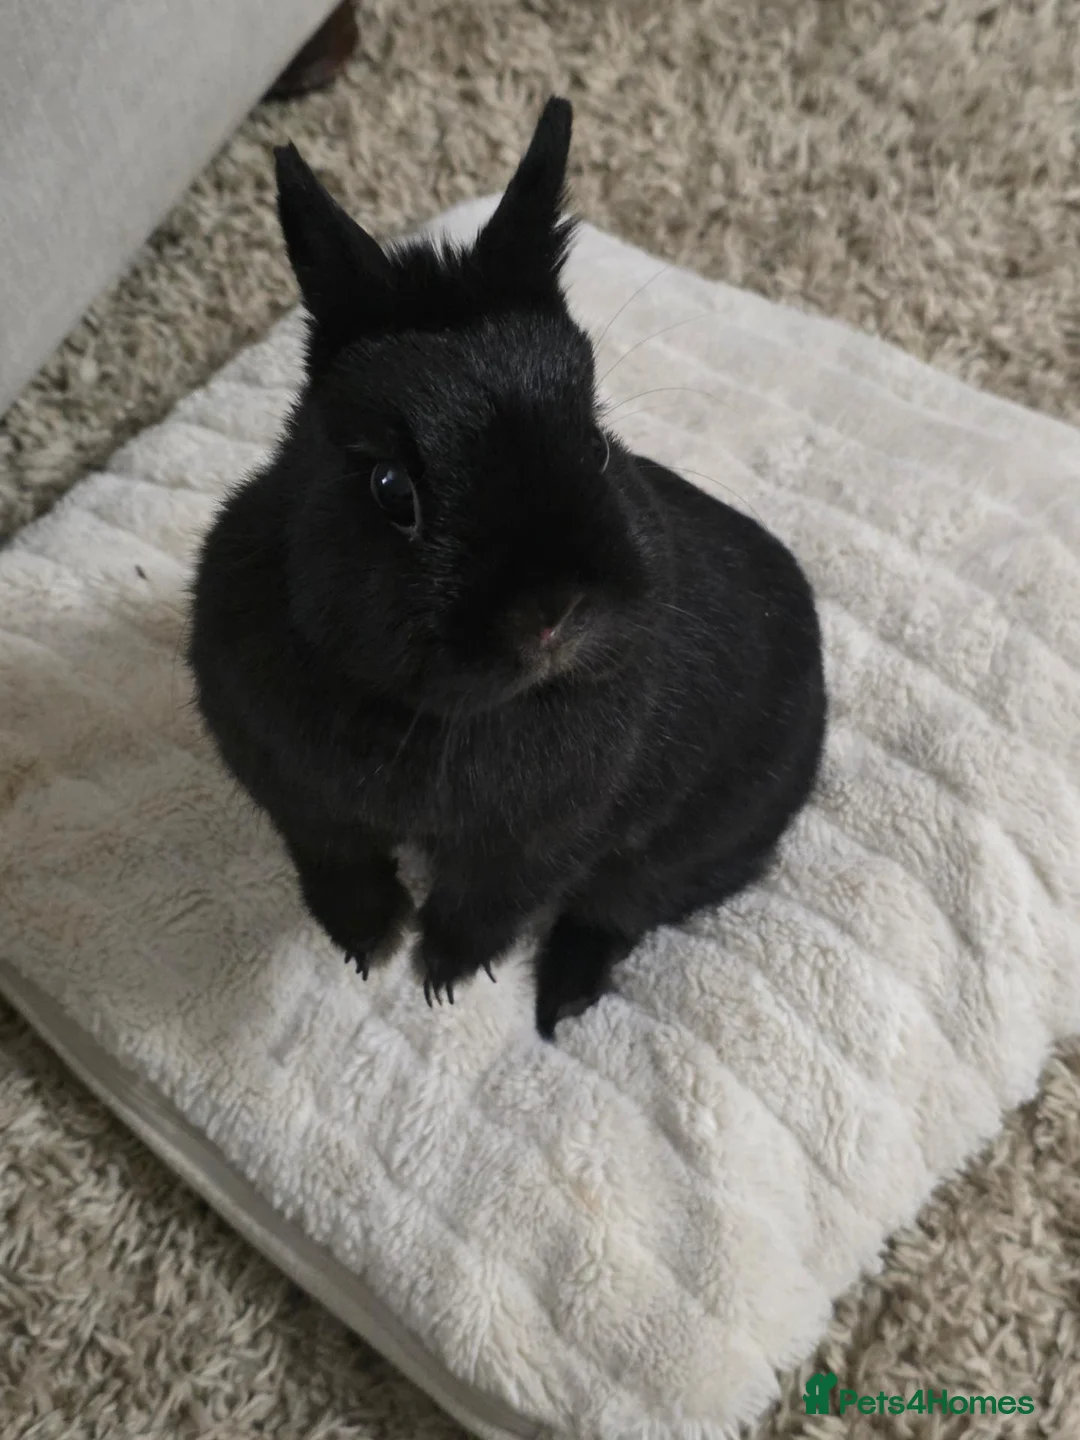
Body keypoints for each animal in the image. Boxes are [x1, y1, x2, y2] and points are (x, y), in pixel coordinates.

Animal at [187, 96, 826, 1040]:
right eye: (391, 488)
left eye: (595, 445)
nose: (555, 611)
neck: (428, 718)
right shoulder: (296, 798)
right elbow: (339, 865)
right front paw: (368, 942)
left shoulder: (535, 844)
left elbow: (487, 908)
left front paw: (440, 975)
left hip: (693, 847)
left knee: (616, 911)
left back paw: (563, 1005)